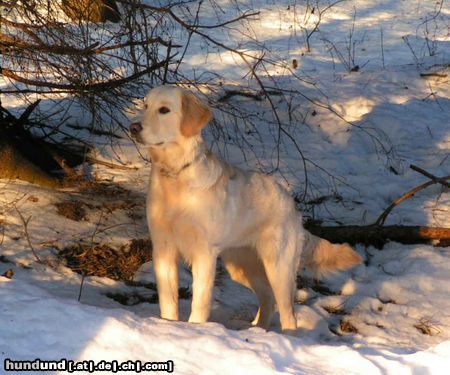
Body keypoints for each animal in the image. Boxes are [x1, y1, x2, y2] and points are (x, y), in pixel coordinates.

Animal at [130, 86, 362, 334]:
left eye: (164, 110)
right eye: (145, 106)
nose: (133, 127)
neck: (176, 174)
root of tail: (292, 206)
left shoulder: (204, 253)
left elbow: (199, 302)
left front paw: (196, 328)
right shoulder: (163, 249)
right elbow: (168, 302)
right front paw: (168, 326)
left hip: (278, 267)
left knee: (288, 313)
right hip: (241, 266)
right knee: (267, 297)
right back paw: (258, 330)